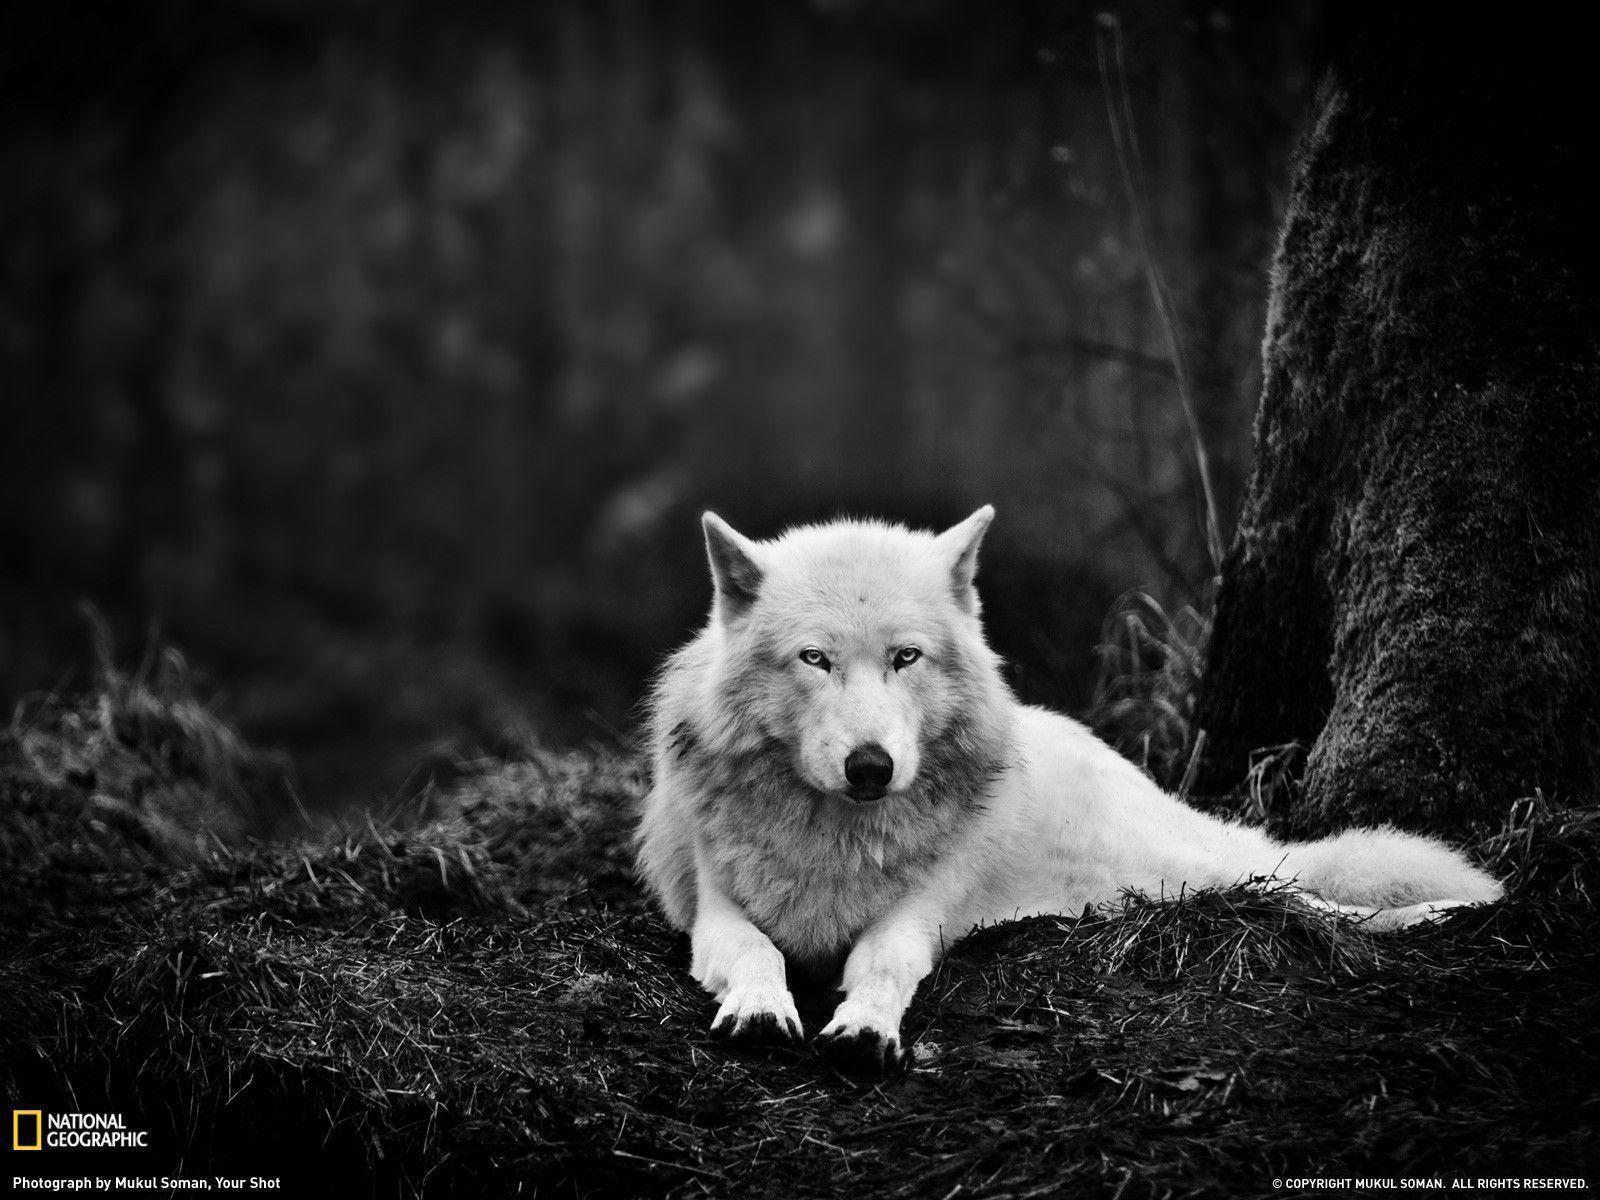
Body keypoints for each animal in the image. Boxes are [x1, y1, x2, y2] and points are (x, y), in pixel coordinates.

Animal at [635, 507, 1503, 1073]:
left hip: (1192, 874)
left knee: (1307, 895)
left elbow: (883, 964)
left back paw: (1452, 909)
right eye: (814, 659)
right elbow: (755, 950)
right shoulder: (715, 911)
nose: (871, 767)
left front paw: (866, 1029)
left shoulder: (917, 916)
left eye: (906, 658)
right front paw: (760, 1007)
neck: (837, 836)